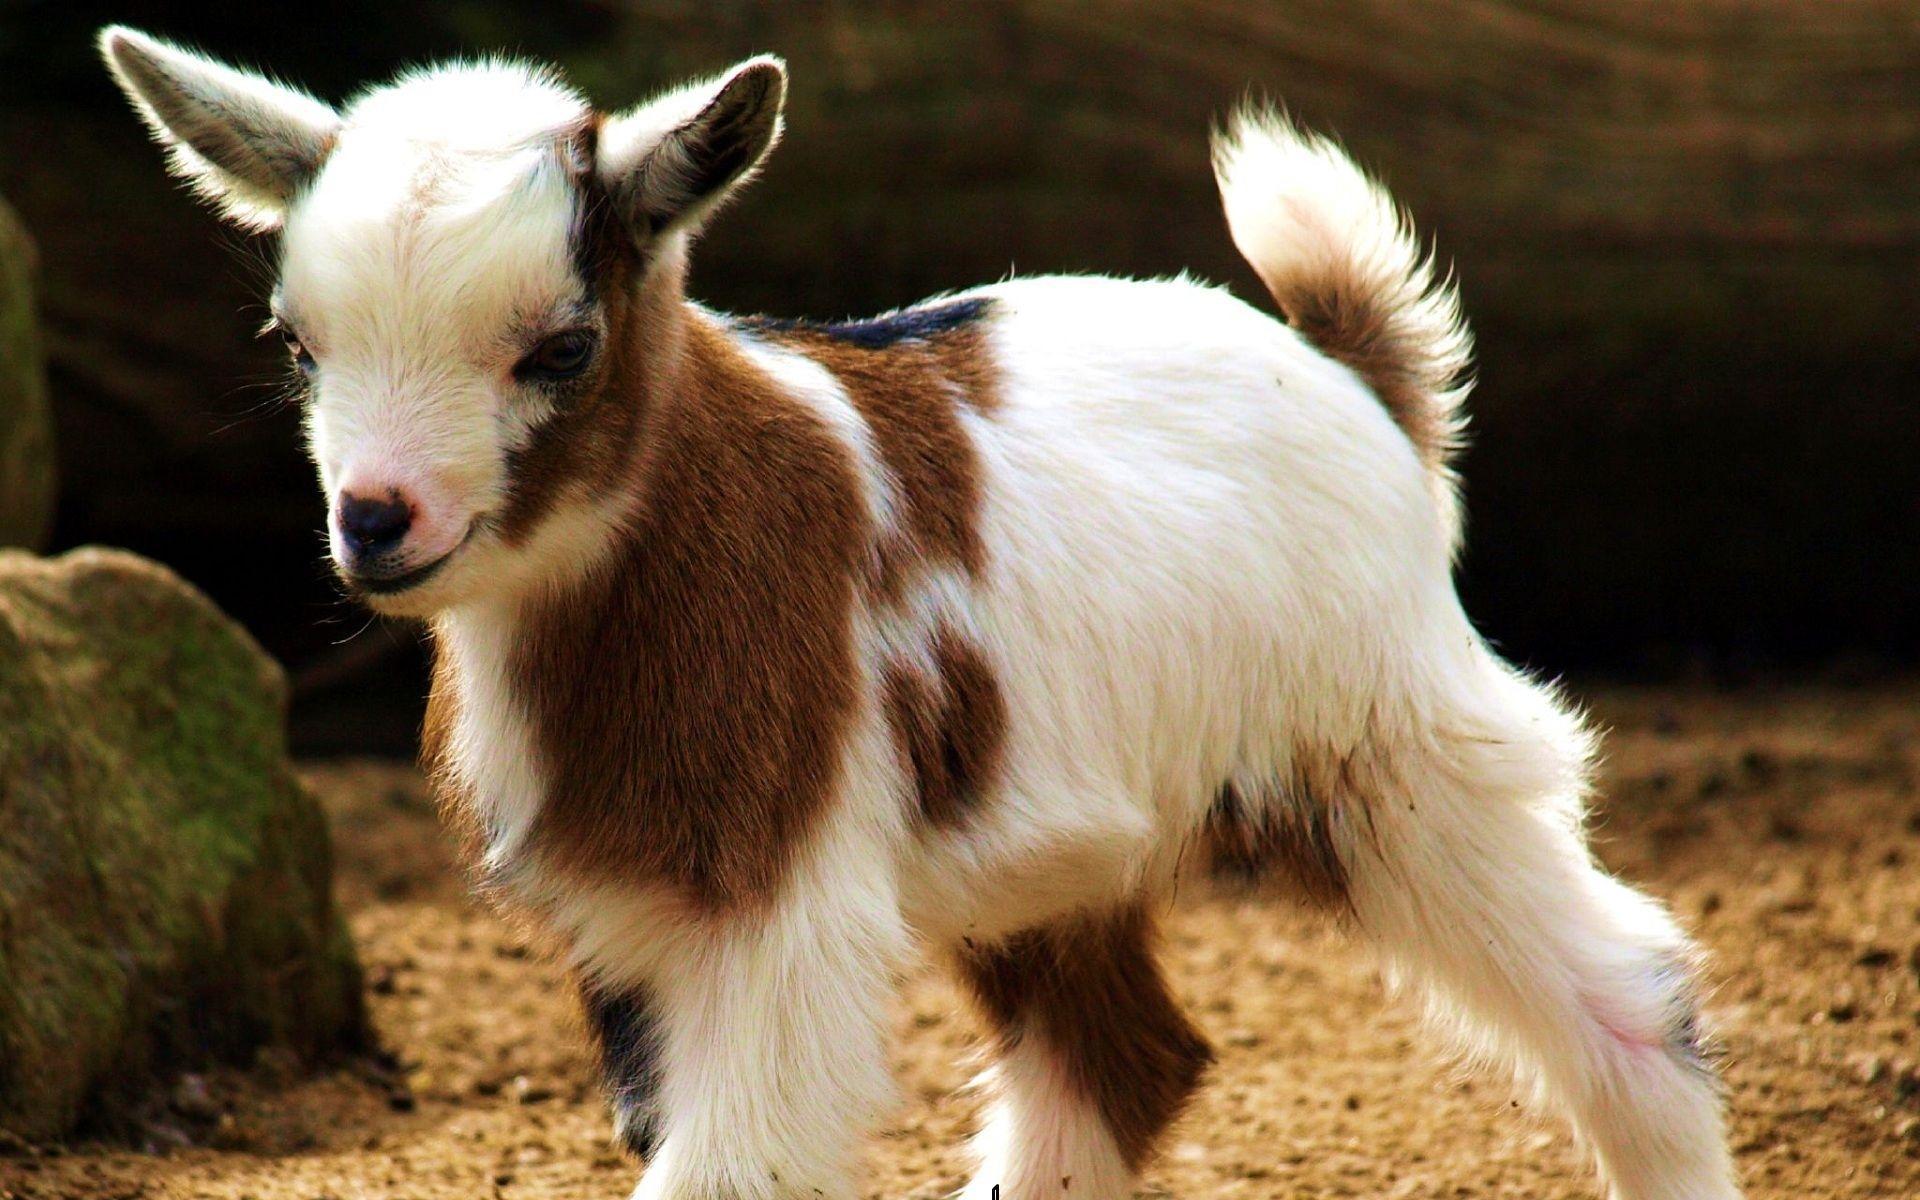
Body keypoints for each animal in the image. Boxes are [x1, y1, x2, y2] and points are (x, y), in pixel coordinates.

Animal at [102, 25, 1743, 1200]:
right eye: (295, 344)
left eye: (561, 348)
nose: (378, 521)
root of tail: (1360, 381)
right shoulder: (630, 912)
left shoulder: (779, 894)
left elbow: (742, 1163)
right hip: (1056, 847)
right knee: (1123, 1063)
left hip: (1393, 750)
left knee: (1633, 999)